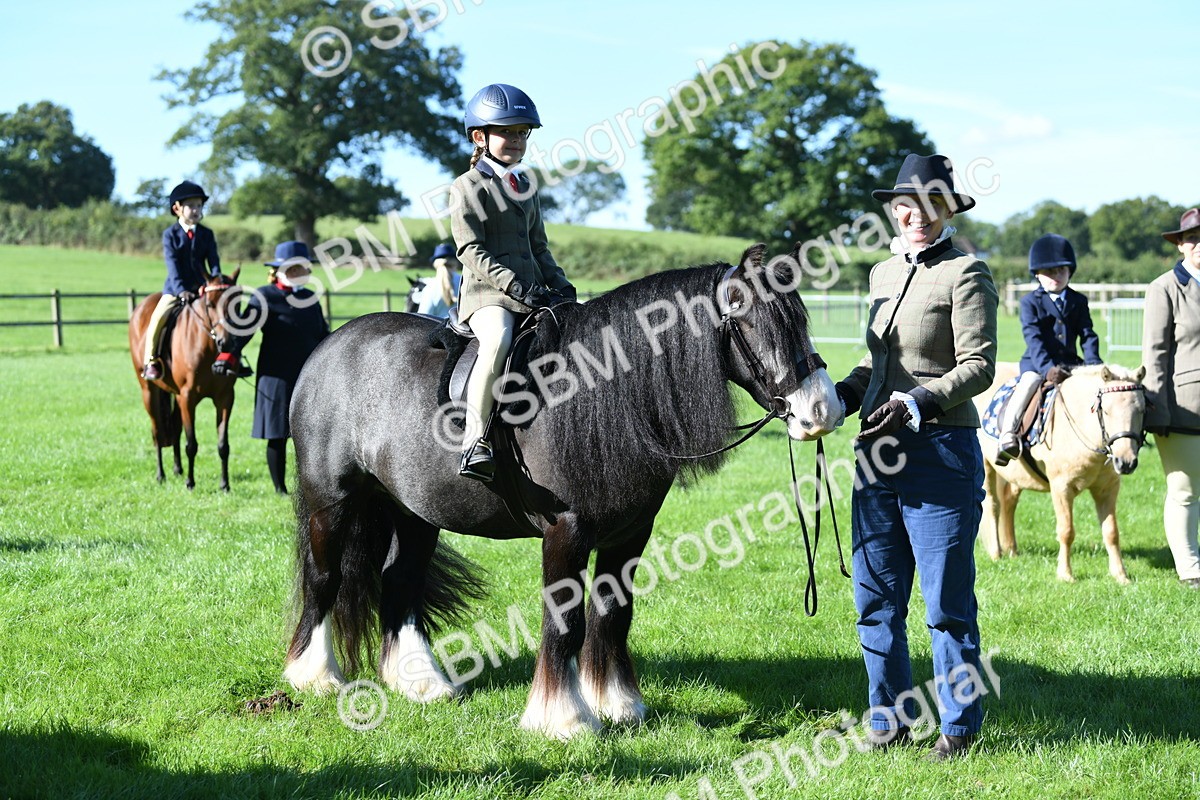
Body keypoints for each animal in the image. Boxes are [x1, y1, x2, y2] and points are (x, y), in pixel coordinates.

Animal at [128, 269, 243, 491]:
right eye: (210, 304)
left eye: (237, 304)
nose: (226, 343)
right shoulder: (188, 398)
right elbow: (192, 444)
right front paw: (190, 483)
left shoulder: (225, 398)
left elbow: (223, 444)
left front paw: (224, 484)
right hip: (149, 391)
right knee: (157, 431)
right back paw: (161, 475)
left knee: (174, 427)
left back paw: (178, 469)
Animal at [282, 244, 842, 738]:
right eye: (750, 321)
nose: (822, 411)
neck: (602, 394)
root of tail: (333, 344)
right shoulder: (566, 532)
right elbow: (566, 621)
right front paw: (563, 718)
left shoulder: (630, 534)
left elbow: (613, 614)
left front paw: (618, 704)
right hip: (331, 502)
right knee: (324, 576)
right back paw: (313, 676)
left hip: (415, 512)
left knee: (400, 582)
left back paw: (421, 684)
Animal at [974, 362, 1147, 584]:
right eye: (1106, 411)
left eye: (1141, 410)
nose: (1125, 462)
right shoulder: (1061, 488)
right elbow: (1066, 531)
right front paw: (1065, 574)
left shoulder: (1107, 489)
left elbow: (1111, 532)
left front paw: (1120, 575)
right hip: (986, 466)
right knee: (993, 505)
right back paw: (996, 553)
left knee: (1008, 502)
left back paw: (1012, 550)